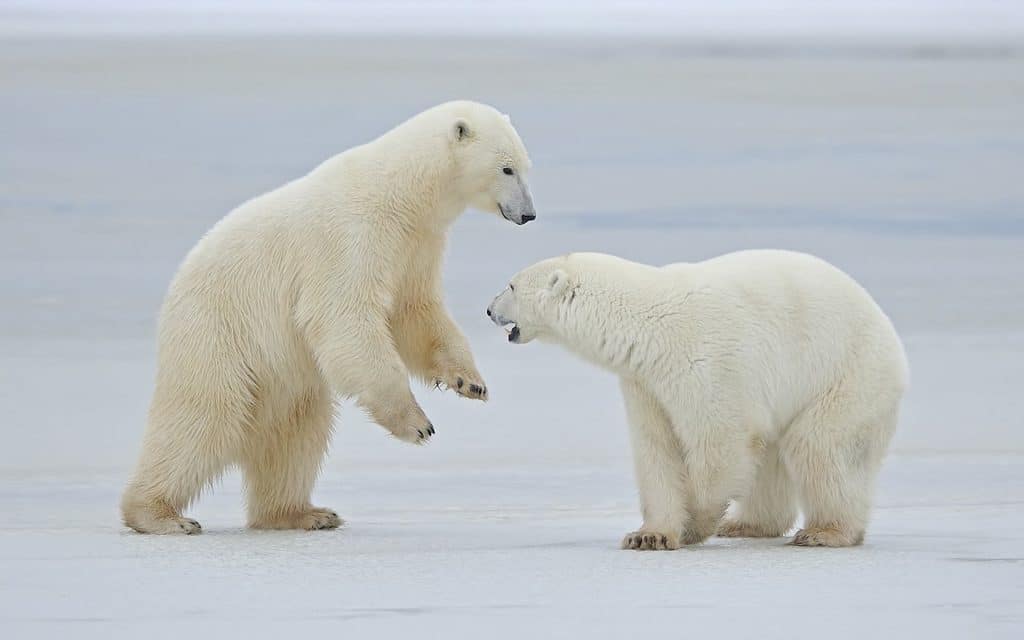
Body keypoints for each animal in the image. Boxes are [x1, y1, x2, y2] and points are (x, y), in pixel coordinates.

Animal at [119, 99, 536, 532]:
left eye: (526, 166)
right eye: (507, 169)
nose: (529, 214)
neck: (400, 195)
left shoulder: (417, 245)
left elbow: (415, 313)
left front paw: (469, 381)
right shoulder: (351, 240)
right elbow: (344, 318)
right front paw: (417, 423)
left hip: (280, 376)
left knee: (296, 433)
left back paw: (303, 512)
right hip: (218, 333)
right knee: (205, 418)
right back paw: (160, 514)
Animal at [489, 249, 913, 548]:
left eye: (510, 286)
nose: (488, 309)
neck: (647, 324)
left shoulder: (706, 363)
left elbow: (719, 442)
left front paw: (694, 522)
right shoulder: (644, 382)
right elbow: (656, 449)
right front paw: (649, 535)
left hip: (847, 375)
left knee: (820, 448)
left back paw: (825, 532)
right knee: (773, 457)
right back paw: (746, 524)